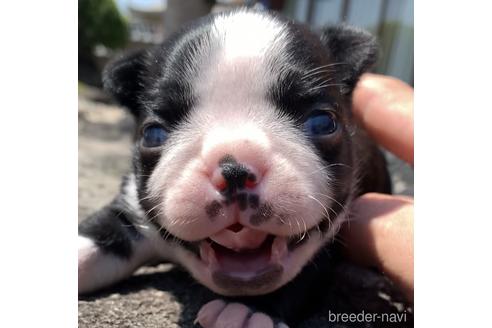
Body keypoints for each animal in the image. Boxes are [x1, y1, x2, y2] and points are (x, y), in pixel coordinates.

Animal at [78, 9, 392, 326]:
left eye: (323, 122)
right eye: (153, 134)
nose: (234, 171)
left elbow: (301, 274)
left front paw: (247, 310)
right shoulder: (129, 210)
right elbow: (98, 235)